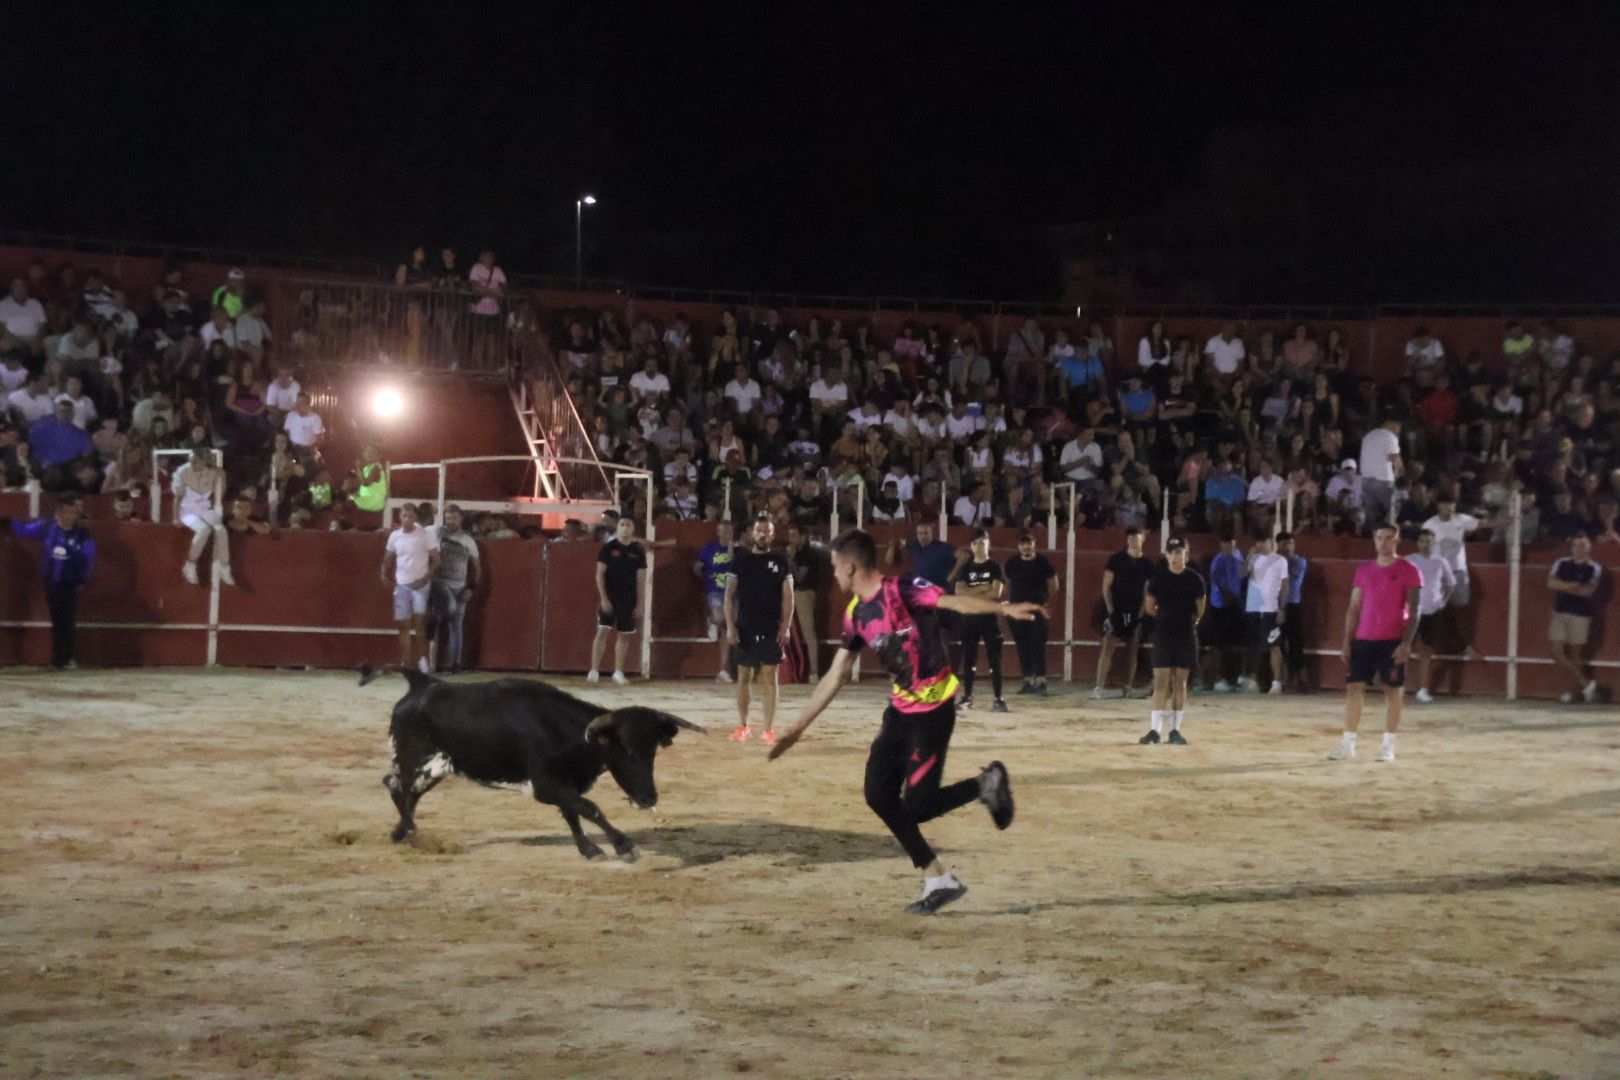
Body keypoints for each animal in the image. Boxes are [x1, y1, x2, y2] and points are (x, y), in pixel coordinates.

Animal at [361, 667, 703, 861]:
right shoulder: (545, 784)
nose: (648, 798)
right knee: (395, 786)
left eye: (653, 751)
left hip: (437, 768)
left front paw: (589, 850)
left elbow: (573, 812)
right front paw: (624, 846)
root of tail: (422, 684)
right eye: (627, 751)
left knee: (406, 792)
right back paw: (410, 832)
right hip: (417, 761)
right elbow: (589, 808)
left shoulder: (563, 783)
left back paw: (402, 833)